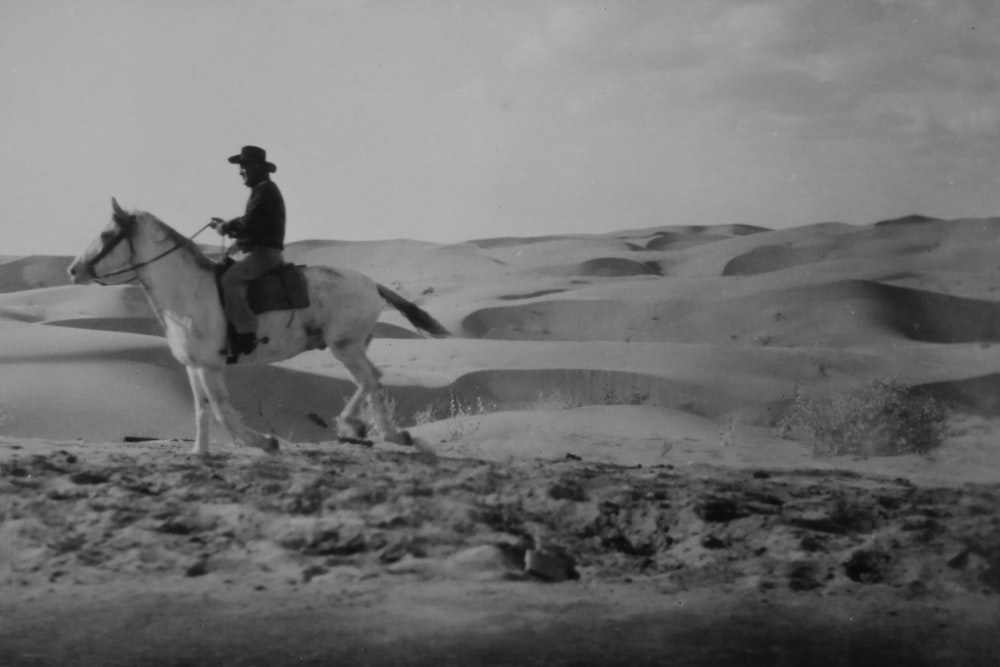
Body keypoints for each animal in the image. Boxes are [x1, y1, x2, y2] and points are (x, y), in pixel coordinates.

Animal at [66, 198, 450, 456]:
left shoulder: (211, 365)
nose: (73, 270)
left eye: (106, 233)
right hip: (352, 345)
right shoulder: (193, 366)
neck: (188, 291)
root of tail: (371, 284)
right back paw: (365, 427)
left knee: (370, 378)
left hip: (346, 346)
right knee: (371, 379)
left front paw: (264, 441)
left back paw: (379, 430)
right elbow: (202, 410)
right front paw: (200, 452)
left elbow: (222, 410)